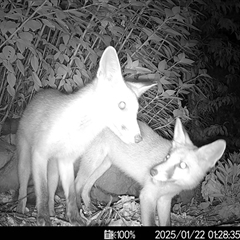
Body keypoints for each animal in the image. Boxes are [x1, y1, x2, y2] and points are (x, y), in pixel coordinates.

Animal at [75, 119, 227, 226]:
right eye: (167, 157)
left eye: (182, 165)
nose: (152, 172)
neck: (170, 186)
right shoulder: (147, 196)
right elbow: (151, 223)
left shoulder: (165, 200)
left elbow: (166, 223)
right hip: (92, 162)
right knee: (76, 184)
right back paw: (75, 214)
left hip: (103, 165)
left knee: (86, 187)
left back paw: (90, 209)